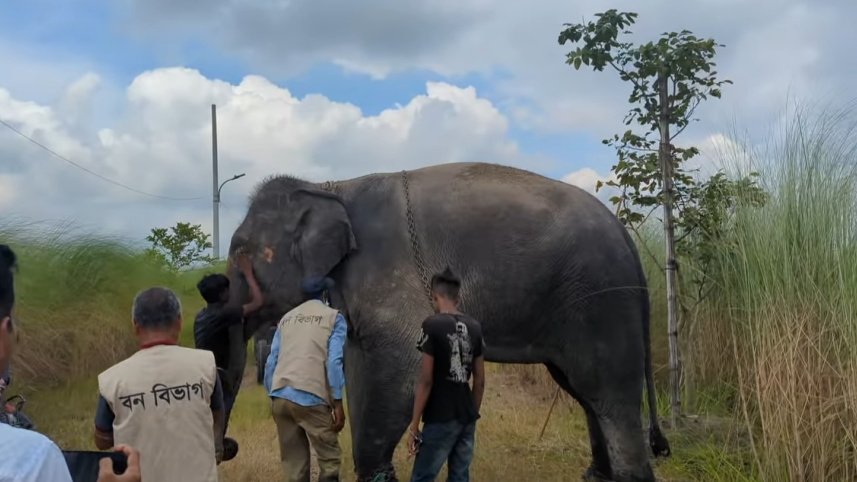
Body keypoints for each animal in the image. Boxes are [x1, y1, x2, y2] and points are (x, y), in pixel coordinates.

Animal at [225, 162, 671, 482]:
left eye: (240, 250)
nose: (228, 446)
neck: (331, 187)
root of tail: (626, 234)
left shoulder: (388, 273)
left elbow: (398, 367)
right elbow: (359, 366)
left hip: (602, 300)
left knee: (609, 395)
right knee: (584, 393)